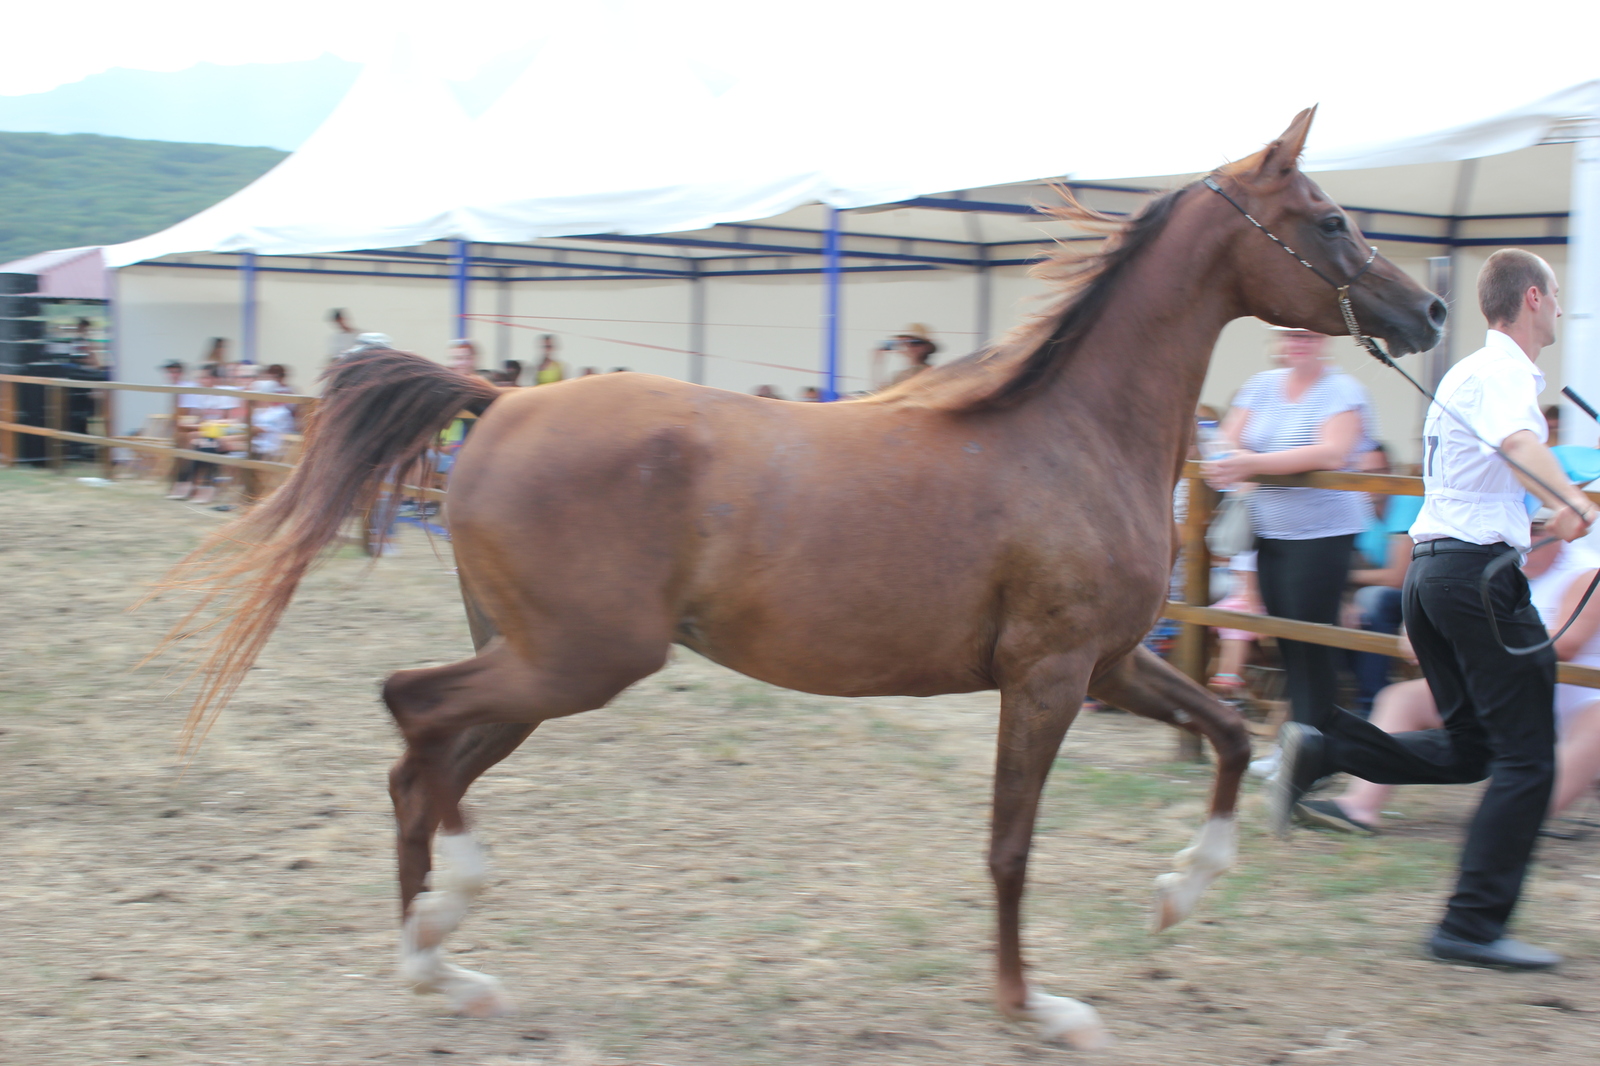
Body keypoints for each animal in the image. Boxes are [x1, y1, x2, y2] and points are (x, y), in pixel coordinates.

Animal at [162, 112, 1452, 1043]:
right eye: (1330, 218)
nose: (1431, 307)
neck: (1069, 433)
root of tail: (503, 398)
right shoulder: (1045, 677)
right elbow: (1010, 844)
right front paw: (1034, 1004)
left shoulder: (1109, 666)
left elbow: (1230, 734)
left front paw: (1179, 892)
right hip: (574, 662)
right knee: (413, 717)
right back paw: (439, 937)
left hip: (533, 662)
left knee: (425, 756)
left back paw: (444, 959)